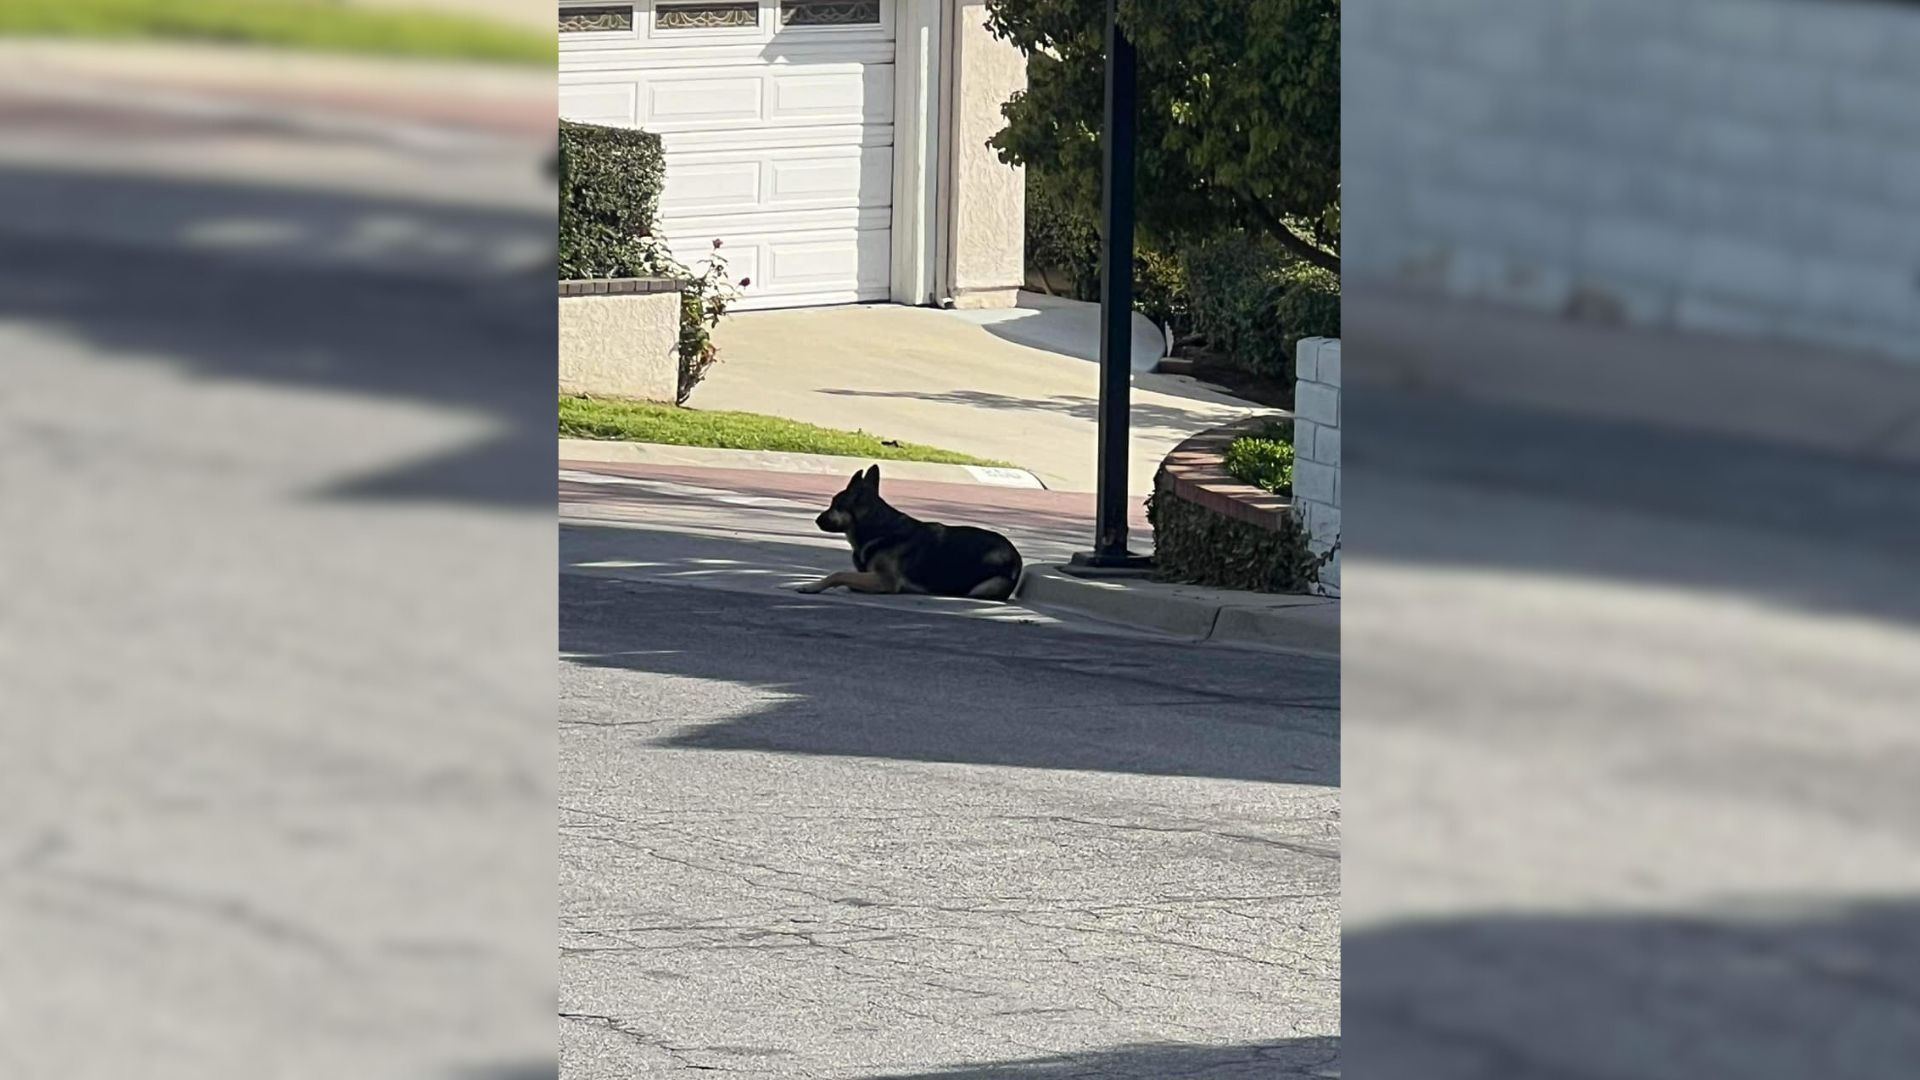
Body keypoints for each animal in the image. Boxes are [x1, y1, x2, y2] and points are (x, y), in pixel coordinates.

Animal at [802, 461, 1029, 595]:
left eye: (835, 505)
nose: (817, 520)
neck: (877, 527)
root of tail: (1016, 558)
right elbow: (847, 577)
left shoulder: (885, 581)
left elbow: (838, 574)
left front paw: (811, 586)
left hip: (985, 586)